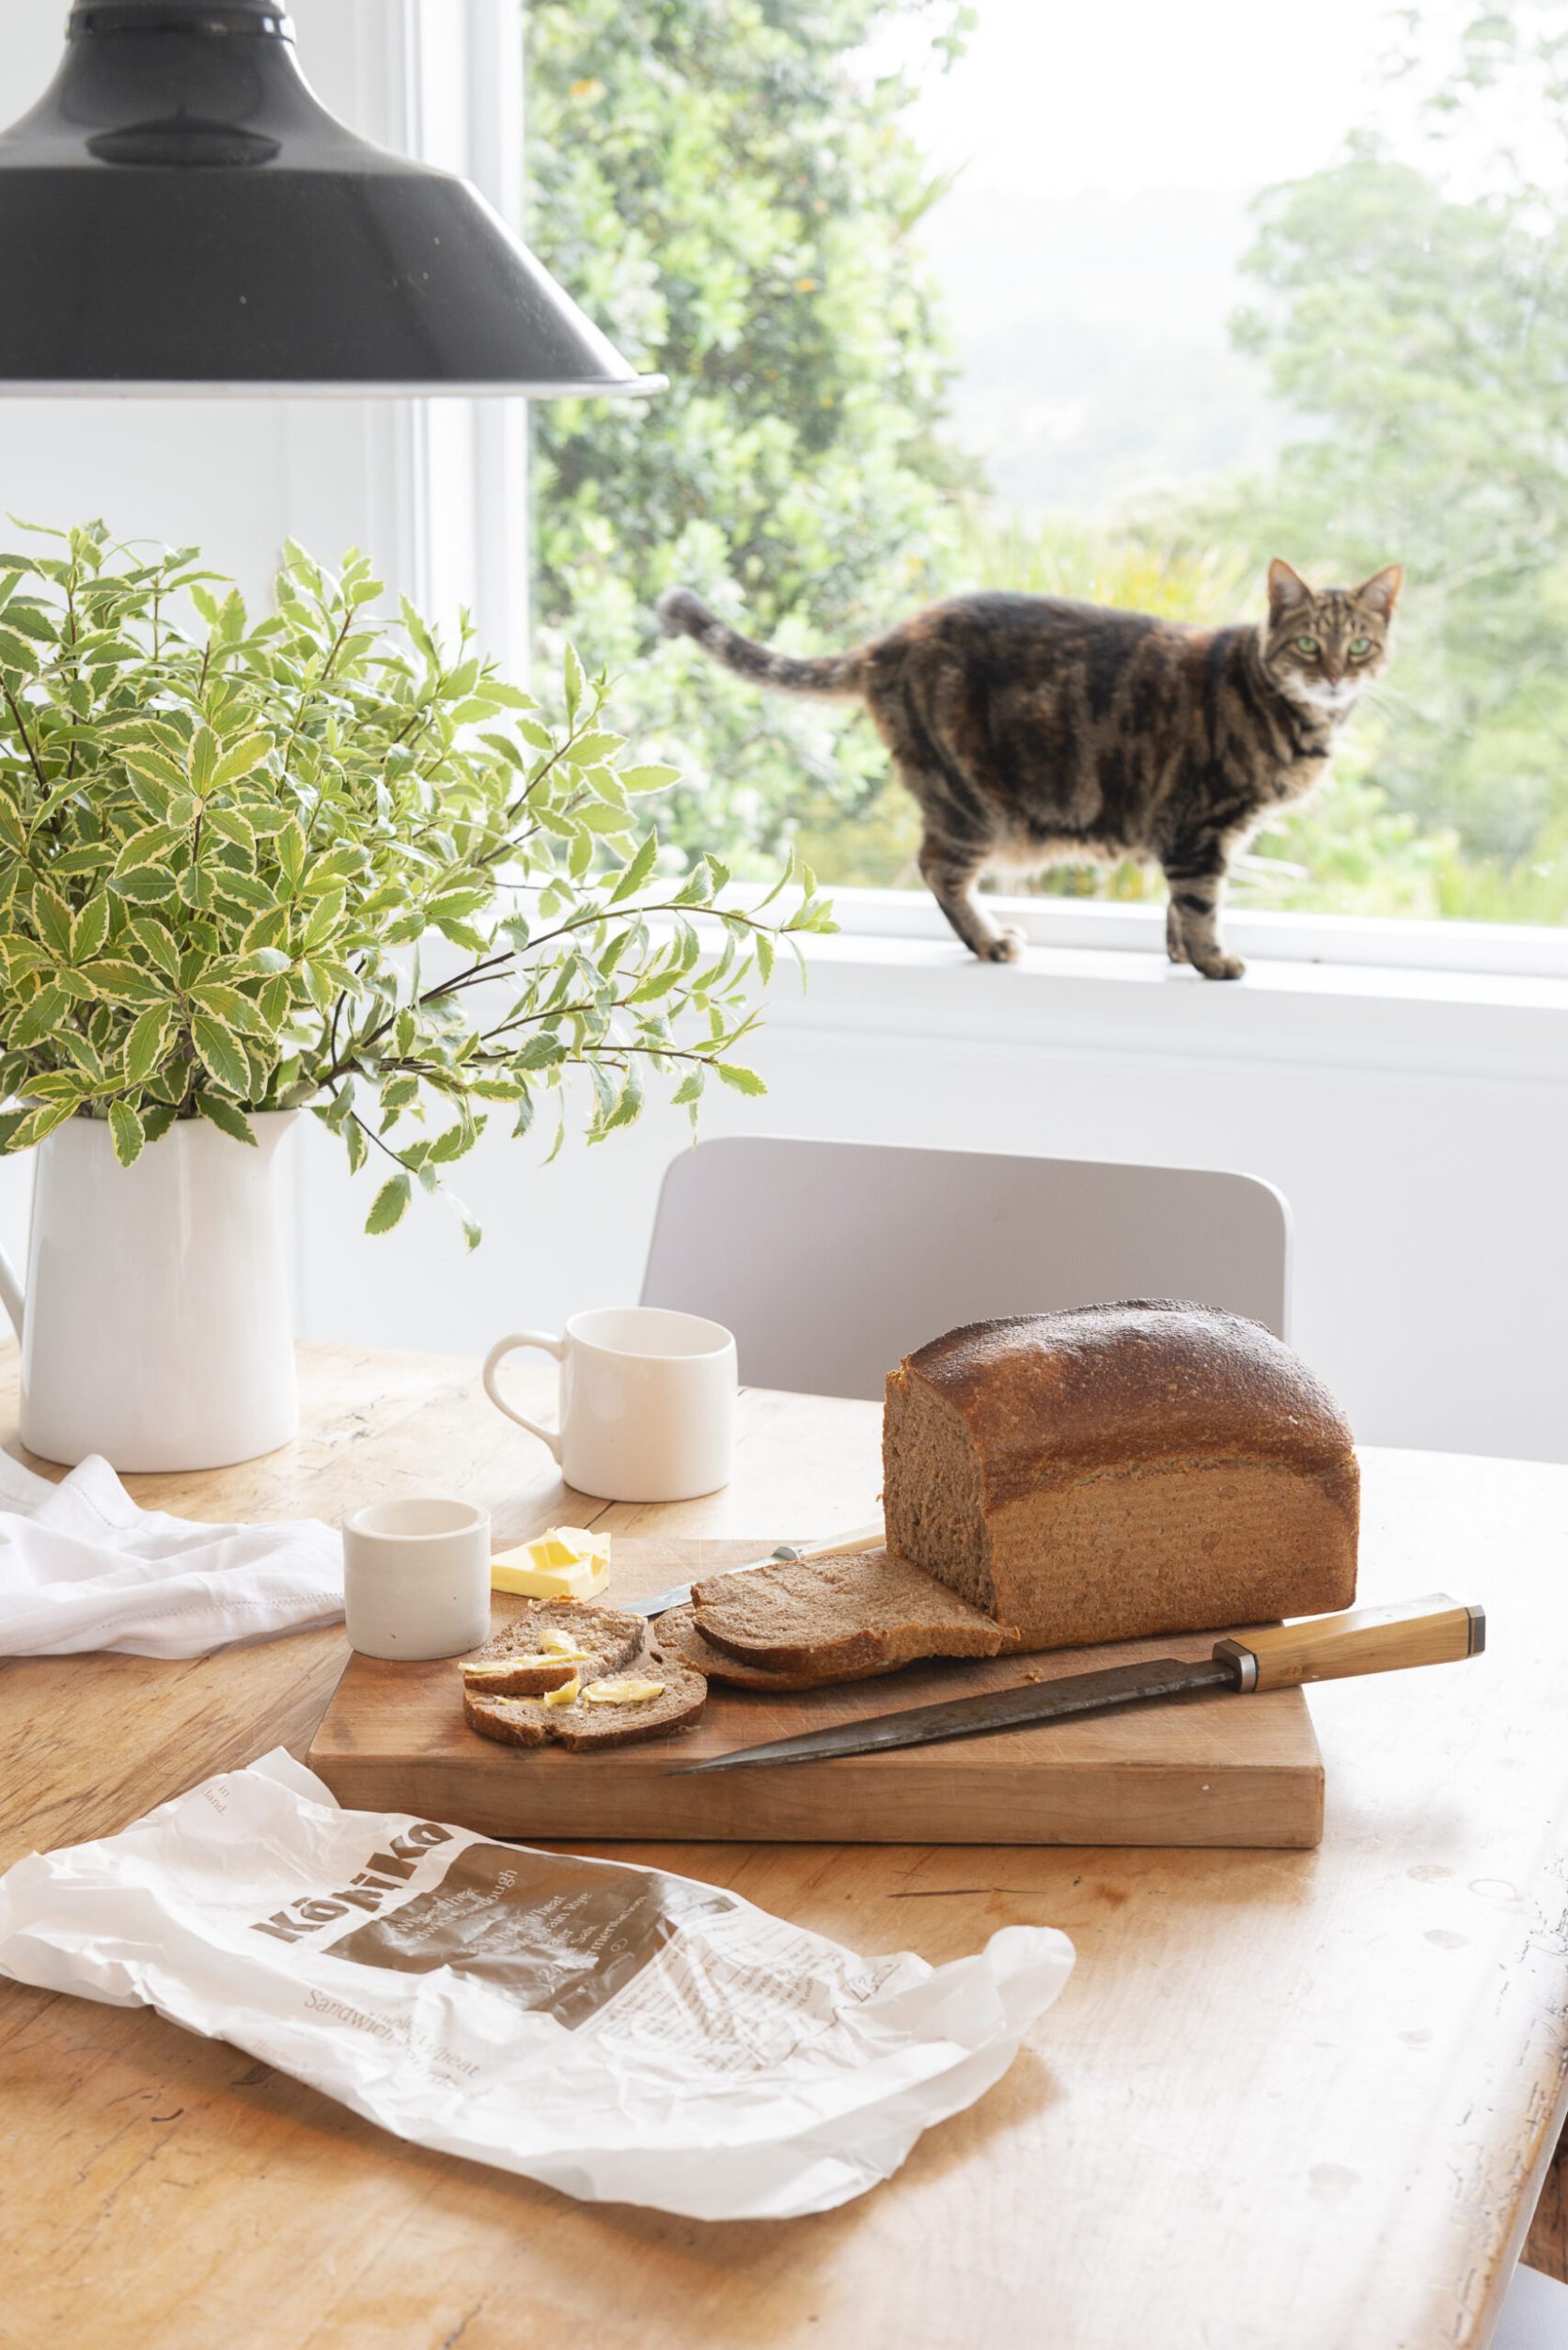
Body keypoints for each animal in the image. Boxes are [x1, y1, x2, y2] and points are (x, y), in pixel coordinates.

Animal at [658, 556, 1401, 973]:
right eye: (1308, 645)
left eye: (1360, 645)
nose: (1335, 676)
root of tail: (896, 635)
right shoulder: (1204, 829)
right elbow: (1199, 904)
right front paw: (1213, 962)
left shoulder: (1191, 833)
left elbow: (1174, 908)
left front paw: (1179, 955)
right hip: (973, 804)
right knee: (938, 867)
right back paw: (988, 942)